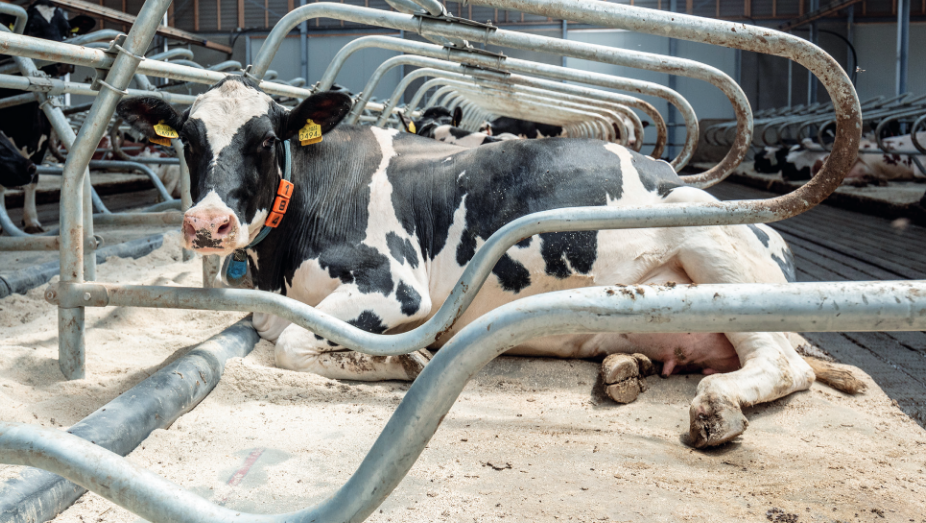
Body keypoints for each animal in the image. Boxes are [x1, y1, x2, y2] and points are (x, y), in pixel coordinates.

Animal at [0, 1, 95, 233]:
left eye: (67, 30)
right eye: (33, 26)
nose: (64, 63)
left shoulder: (42, 142)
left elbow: (34, 177)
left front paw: (32, 220)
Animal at [116, 76, 864, 449]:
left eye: (268, 139)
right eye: (187, 138)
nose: (207, 223)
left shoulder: (395, 285)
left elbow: (296, 345)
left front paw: (401, 361)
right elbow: (281, 336)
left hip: (711, 247)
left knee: (783, 364)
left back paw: (717, 406)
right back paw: (626, 368)